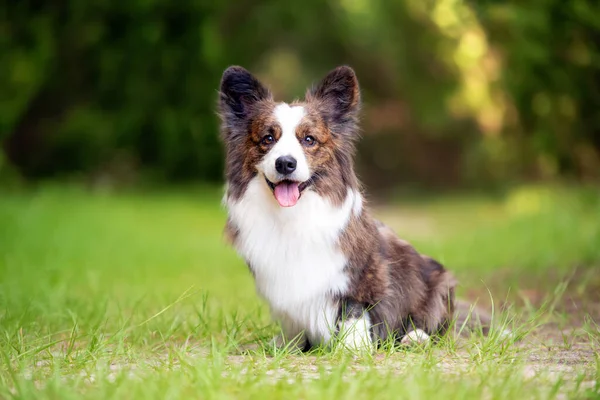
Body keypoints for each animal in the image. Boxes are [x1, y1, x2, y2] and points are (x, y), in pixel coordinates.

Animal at [218, 65, 458, 350]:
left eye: (308, 139)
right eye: (267, 138)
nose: (285, 163)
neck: (293, 214)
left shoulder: (360, 277)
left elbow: (353, 309)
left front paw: (352, 347)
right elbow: (291, 319)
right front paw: (287, 345)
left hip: (439, 283)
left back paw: (415, 336)